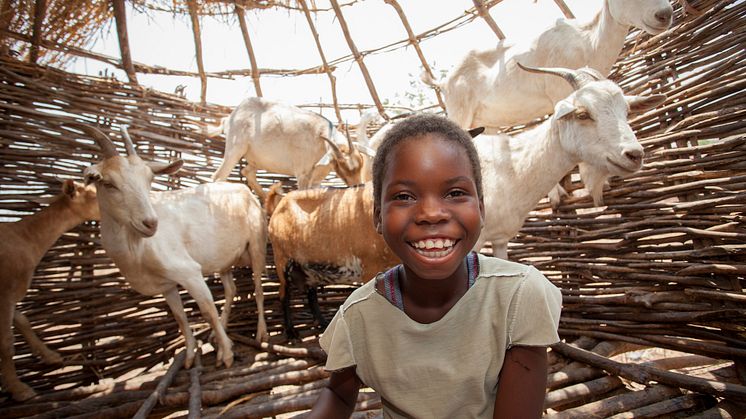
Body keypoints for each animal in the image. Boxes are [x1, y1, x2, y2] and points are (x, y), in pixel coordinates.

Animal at [0, 179, 98, 402]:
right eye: (95, 194)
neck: (25, 237)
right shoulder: (5, 293)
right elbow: (6, 341)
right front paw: (19, 389)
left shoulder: (11, 295)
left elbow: (23, 321)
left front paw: (51, 356)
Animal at [77, 124, 268, 370]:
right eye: (108, 184)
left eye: (149, 180)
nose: (150, 223)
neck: (137, 248)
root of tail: (245, 191)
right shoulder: (166, 284)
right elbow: (179, 317)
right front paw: (189, 357)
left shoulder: (188, 271)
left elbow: (208, 310)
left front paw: (226, 355)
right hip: (223, 260)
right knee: (231, 289)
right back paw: (219, 336)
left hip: (257, 244)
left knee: (258, 288)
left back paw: (260, 334)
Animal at [208, 98, 372, 203]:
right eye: (341, 165)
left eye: (361, 162)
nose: (358, 185)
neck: (320, 137)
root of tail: (230, 117)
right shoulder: (302, 174)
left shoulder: (316, 180)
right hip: (235, 149)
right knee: (218, 177)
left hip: (256, 160)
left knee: (247, 172)